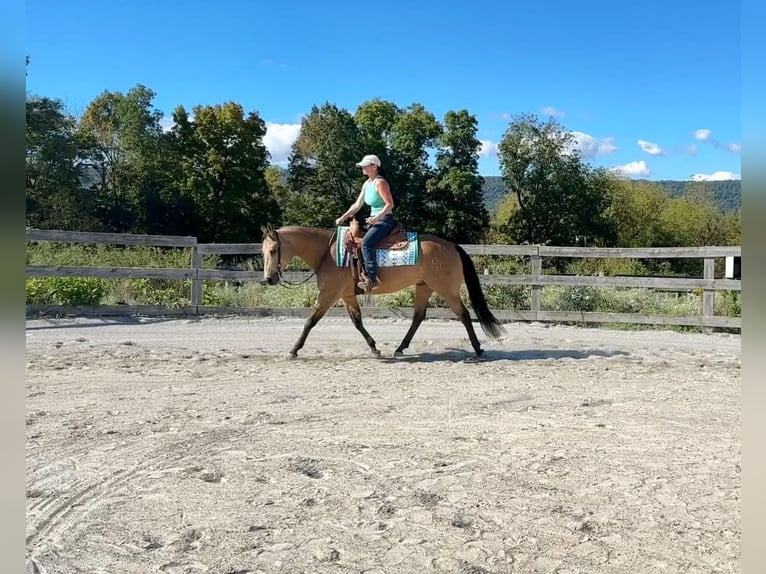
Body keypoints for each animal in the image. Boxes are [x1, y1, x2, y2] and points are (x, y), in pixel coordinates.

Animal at [260, 224, 505, 358]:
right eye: (262, 251)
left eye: (273, 250)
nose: (268, 278)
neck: (329, 254)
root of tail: (452, 245)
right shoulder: (347, 296)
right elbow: (357, 321)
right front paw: (374, 348)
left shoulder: (329, 295)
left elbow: (310, 321)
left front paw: (294, 350)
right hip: (424, 287)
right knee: (418, 317)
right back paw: (400, 347)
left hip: (447, 290)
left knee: (464, 315)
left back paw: (478, 348)